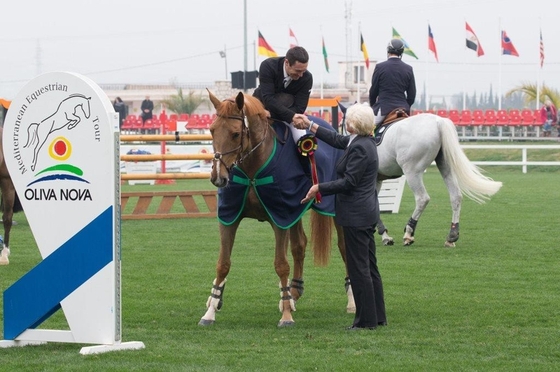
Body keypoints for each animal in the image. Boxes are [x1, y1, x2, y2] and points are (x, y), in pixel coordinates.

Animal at [199, 91, 352, 326]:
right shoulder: (230, 217)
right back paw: (293, 293)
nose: (218, 177)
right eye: (212, 130)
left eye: (235, 134)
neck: (252, 168)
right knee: (299, 245)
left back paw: (351, 301)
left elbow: (281, 264)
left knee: (344, 248)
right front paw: (210, 311)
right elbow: (222, 263)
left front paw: (286, 316)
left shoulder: (280, 217)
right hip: (294, 212)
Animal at [340, 107, 506, 247]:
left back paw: (409, 233)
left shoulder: (374, 179)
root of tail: (438, 122)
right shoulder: (376, 180)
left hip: (412, 172)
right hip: (445, 167)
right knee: (456, 196)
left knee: (422, 198)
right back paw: (451, 236)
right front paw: (384, 235)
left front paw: (385, 236)